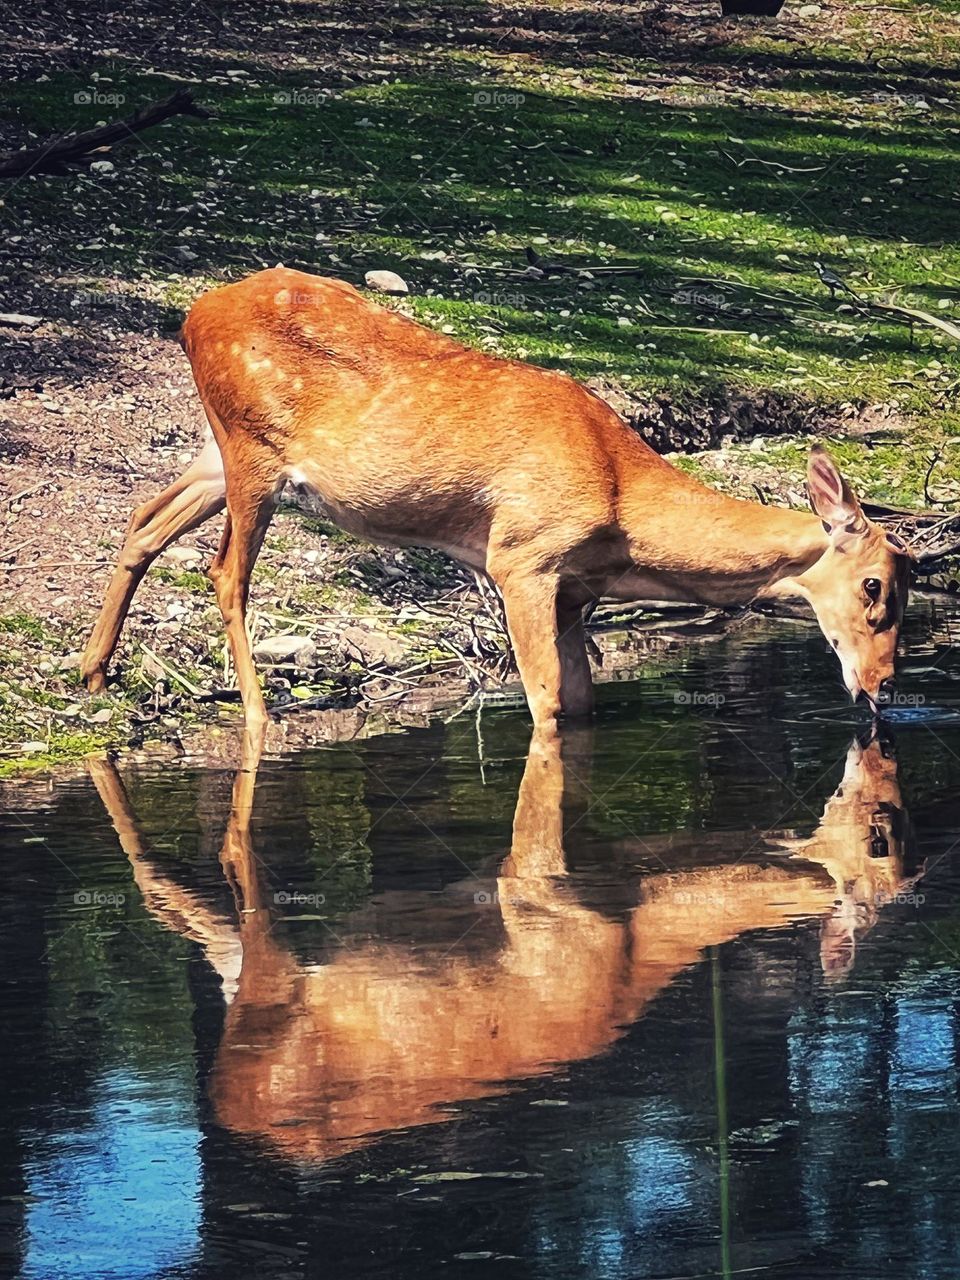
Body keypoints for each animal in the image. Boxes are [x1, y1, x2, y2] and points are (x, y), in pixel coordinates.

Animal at [80, 267, 913, 732]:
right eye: (875, 586)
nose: (882, 688)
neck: (624, 508)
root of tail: (192, 314)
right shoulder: (523, 557)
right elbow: (544, 702)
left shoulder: (577, 589)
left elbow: (579, 701)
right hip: (252, 451)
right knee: (225, 573)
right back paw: (255, 715)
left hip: (218, 448)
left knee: (144, 518)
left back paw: (92, 671)